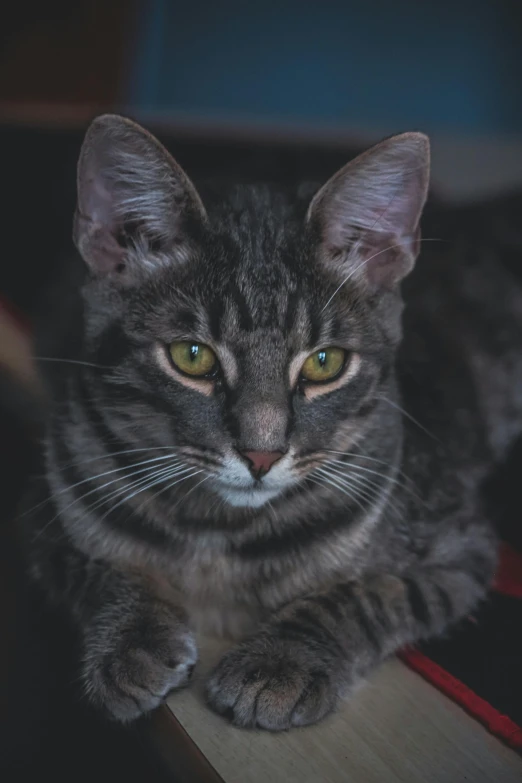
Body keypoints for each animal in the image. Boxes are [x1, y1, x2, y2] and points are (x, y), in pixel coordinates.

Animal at [22, 115, 520, 728]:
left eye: (325, 363)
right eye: (192, 356)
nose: (261, 454)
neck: (216, 534)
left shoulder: (461, 546)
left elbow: (368, 595)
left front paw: (282, 659)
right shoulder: (41, 508)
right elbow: (95, 564)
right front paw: (133, 636)